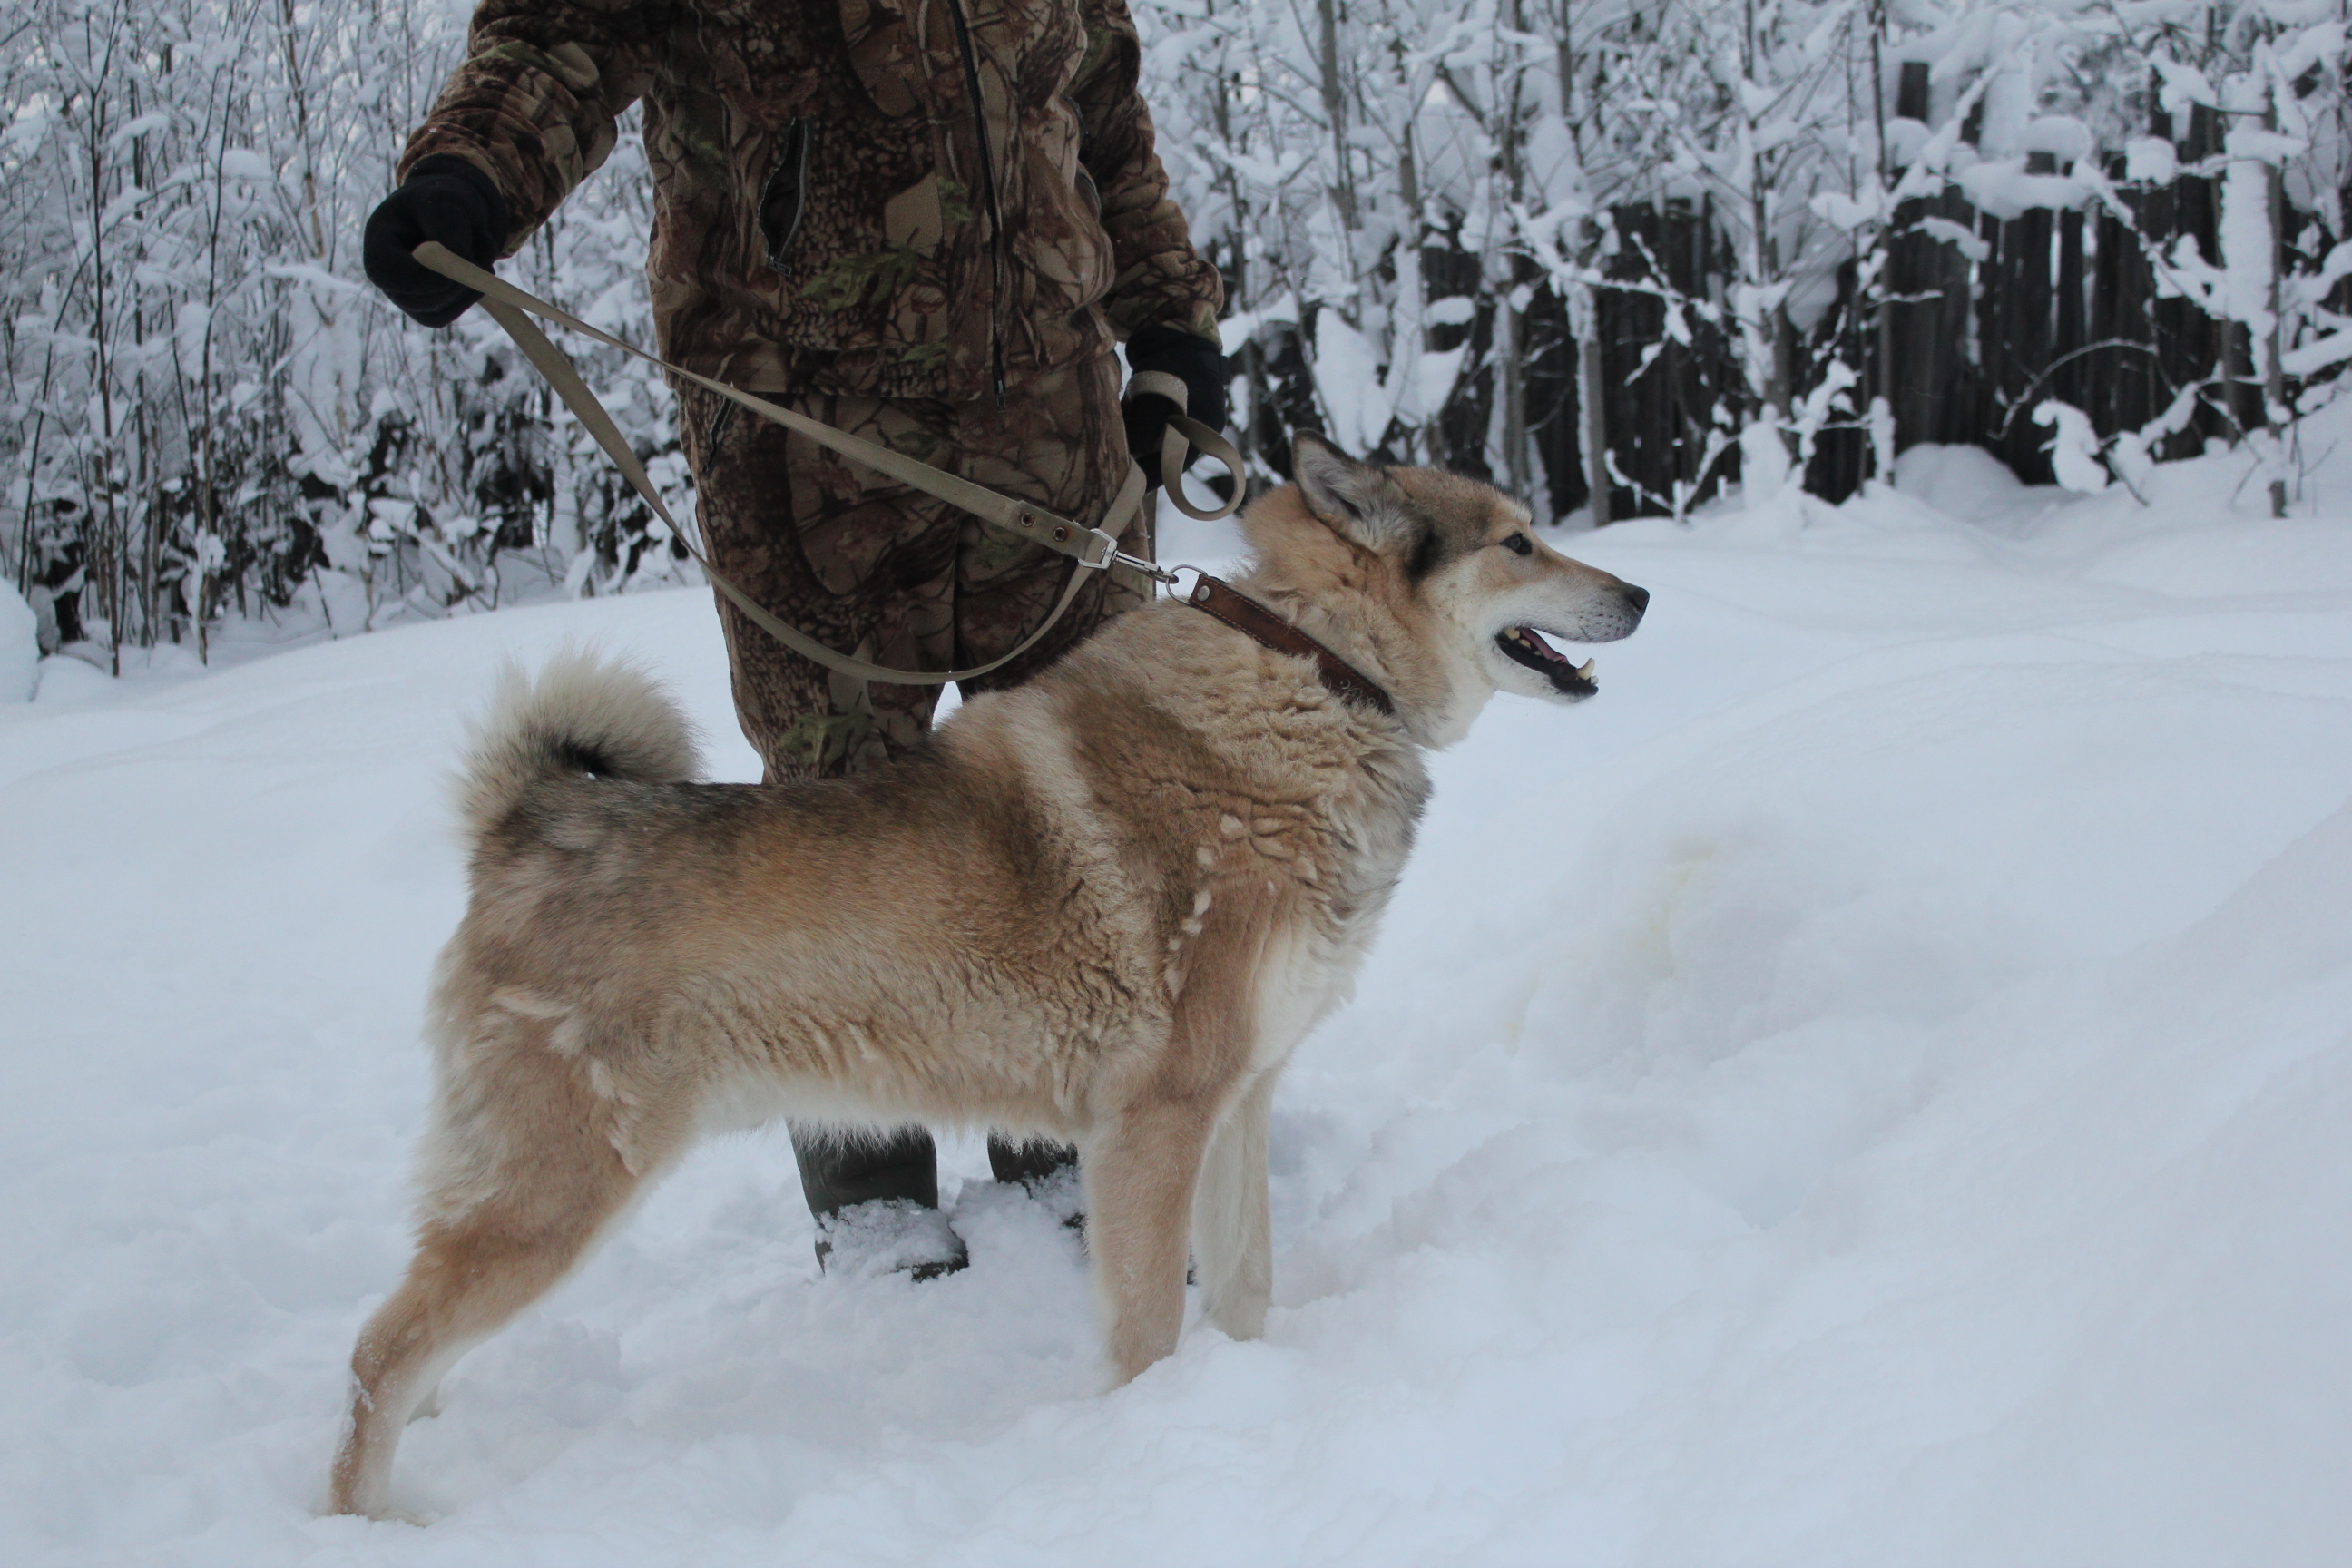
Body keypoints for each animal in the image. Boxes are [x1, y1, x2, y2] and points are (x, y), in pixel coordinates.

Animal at [327, 435, 1655, 1514]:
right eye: (1516, 540)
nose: (1641, 590)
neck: (1318, 681)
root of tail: (527, 823)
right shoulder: (1155, 1124)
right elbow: (1151, 1323)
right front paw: (1155, 1443)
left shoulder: (1238, 1104)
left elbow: (1246, 1288)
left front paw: (1249, 1399)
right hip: (556, 1197)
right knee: (375, 1356)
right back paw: (369, 1521)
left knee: (410, 1342)